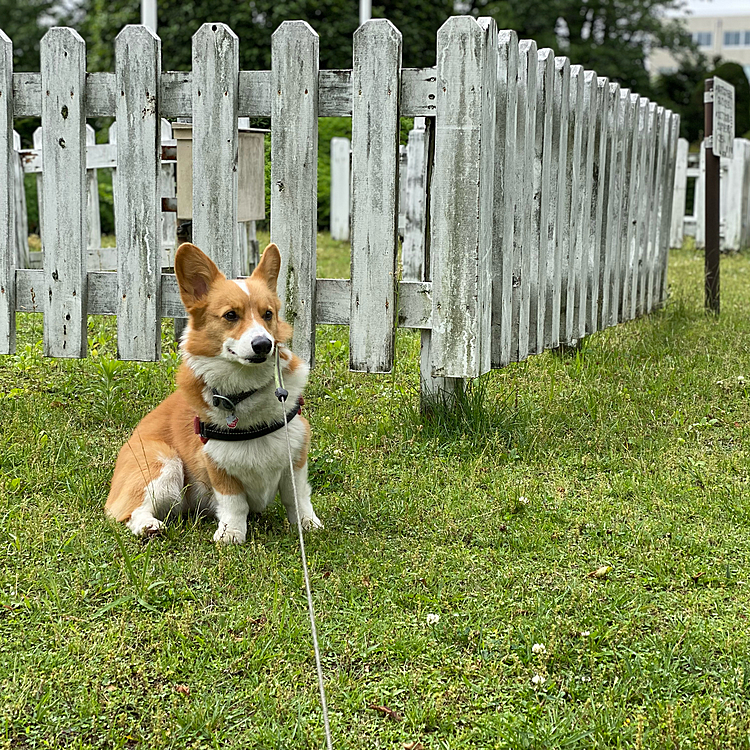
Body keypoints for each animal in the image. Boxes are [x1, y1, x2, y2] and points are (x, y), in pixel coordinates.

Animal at [104, 244, 322, 544]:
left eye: (268, 314)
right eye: (231, 315)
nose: (263, 344)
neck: (245, 392)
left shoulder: (295, 455)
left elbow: (298, 498)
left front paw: (307, 525)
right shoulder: (215, 463)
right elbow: (234, 502)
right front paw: (232, 535)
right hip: (165, 464)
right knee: (129, 512)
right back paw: (148, 526)